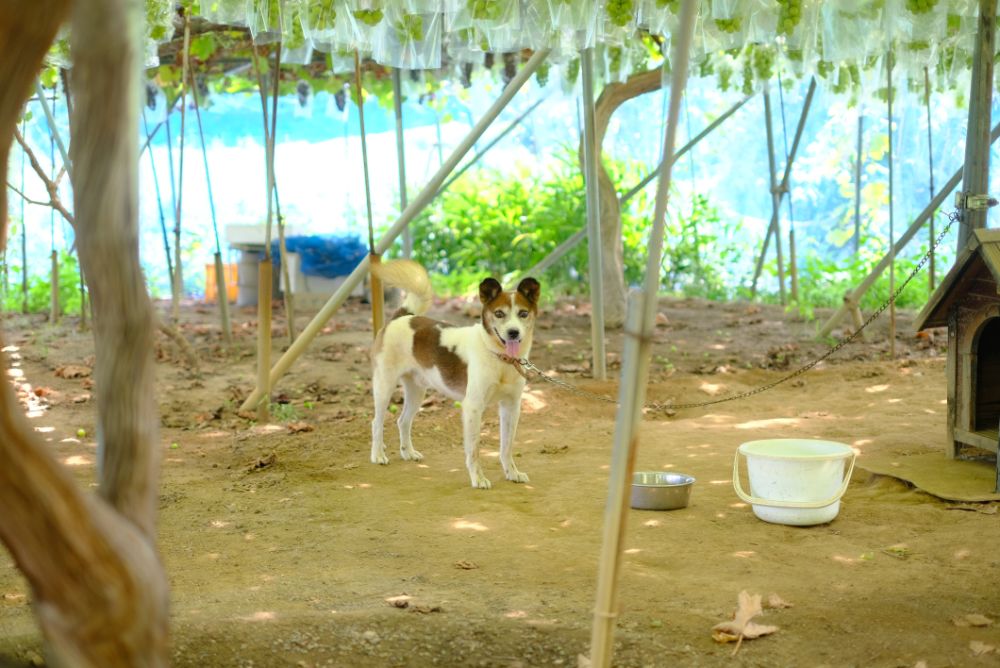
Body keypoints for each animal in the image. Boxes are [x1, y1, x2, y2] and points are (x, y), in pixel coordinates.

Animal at [370, 258, 540, 488]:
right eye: (499, 314)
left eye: (523, 313)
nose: (513, 333)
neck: (499, 358)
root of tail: (403, 317)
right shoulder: (473, 407)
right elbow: (474, 450)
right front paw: (478, 479)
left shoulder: (511, 406)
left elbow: (507, 446)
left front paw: (512, 473)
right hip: (384, 386)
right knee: (376, 423)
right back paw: (378, 455)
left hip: (417, 391)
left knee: (403, 421)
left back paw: (408, 453)